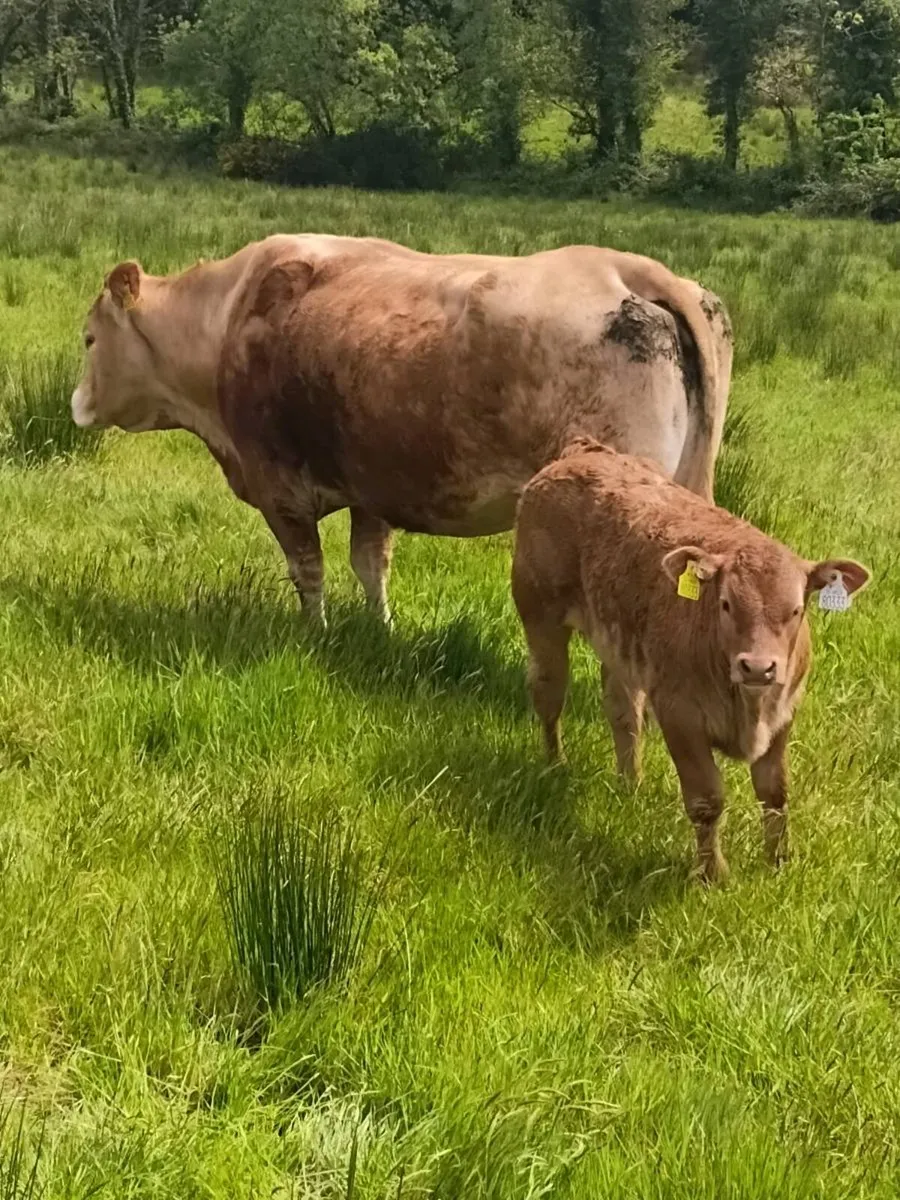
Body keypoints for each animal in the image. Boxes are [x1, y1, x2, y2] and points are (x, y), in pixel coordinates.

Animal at [72, 234, 733, 626]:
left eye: (88, 338)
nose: (76, 404)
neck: (228, 317)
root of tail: (624, 268)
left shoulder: (278, 489)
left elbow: (308, 571)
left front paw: (313, 635)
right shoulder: (372, 487)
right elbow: (371, 565)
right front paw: (379, 633)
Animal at [511, 440, 870, 882]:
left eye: (796, 610)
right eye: (726, 604)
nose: (758, 667)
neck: (748, 707)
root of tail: (585, 450)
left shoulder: (784, 714)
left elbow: (775, 792)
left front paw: (778, 862)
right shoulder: (680, 716)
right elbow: (706, 800)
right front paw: (712, 874)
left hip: (620, 648)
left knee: (623, 713)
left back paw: (631, 784)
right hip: (540, 617)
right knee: (549, 695)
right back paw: (555, 764)